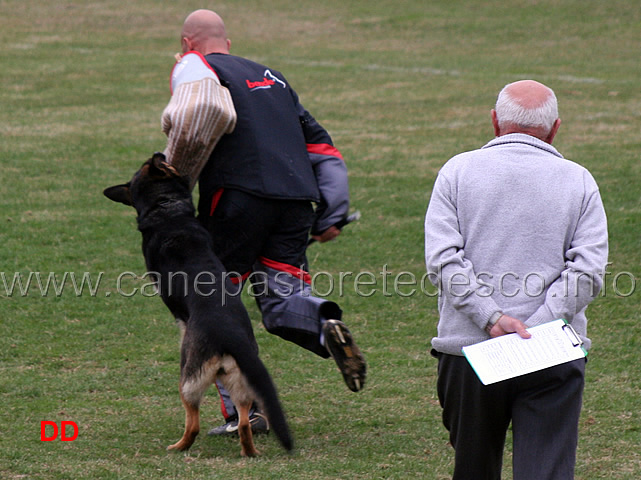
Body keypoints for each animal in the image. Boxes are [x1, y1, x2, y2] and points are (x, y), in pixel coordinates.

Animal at [103, 154, 292, 458]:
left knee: (193, 422)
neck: (166, 211)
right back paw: (249, 452)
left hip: (188, 381)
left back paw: (178, 446)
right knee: (244, 423)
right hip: (240, 384)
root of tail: (230, 336)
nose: (160, 154)